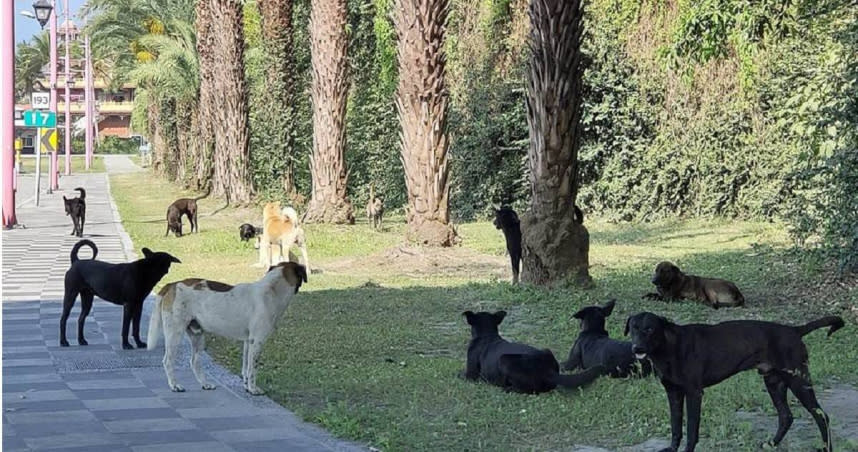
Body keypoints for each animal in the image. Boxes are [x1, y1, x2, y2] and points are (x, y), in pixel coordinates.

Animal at [147, 264, 308, 394]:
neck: (272, 290)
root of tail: (172, 284)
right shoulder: (257, 341)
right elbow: (253, 369)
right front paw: (253, 389)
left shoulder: (248, 342)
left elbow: (246, 368)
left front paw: (246, 387)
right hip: (175, 333)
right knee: (168, 361)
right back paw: (175, 386)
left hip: (197, 335)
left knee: (194, 362)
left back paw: (205, 384)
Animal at [620, 310, 844, 452]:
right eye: (633, 328)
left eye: (649, 329)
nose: (636, 348)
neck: (669, 347)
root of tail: (794, 330)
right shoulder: (673, 393)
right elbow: (676, 427)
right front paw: (672, 448)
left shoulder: (694, 393)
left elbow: (691, 429)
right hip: (774, 383)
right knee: (786, 416)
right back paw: (771, 444)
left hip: (798, 381)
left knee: (822, 416)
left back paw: (826, 448)